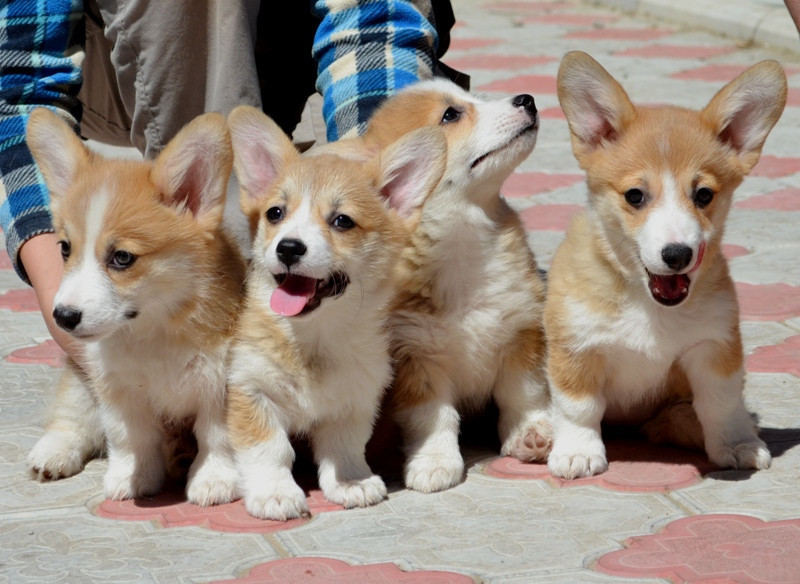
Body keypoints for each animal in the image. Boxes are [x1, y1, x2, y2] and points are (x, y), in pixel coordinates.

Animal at [25, 110, 244, 506]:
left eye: (122, 257)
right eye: (65, 248)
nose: (63, 317)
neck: (155, 329)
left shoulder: (220, 384)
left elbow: (217, 436)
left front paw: (214, 480)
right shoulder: (117, 390)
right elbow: (130, 438)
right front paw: (132, 477)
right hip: (79, 377)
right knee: (72, 418)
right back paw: (52, 454)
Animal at [227, 105, 450, 520]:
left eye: (342, 221)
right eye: (275, 213)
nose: (288, 248)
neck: (314, 338)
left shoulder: (355, 400)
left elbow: (343, 447)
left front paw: (351, 482)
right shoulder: (250, 389)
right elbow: (270, 449)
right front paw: (274, 494)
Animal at [360, 78, 552, 492]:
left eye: (472, 97)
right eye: (450, 114)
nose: (527, 100)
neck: (463, 236)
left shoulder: (521, 330)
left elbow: (524, 393)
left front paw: (531, 434)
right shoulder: (416, 356)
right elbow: (434, 417)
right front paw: (435, 462)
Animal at [544, 50, 788, 480]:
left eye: (704, 195)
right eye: (635, 195)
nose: (677, 254)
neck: (647, 305)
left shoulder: (713, 346)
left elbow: (722, 404)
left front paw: (735, 443)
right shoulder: (576, 346)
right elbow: (578, 406)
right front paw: (577, 452)